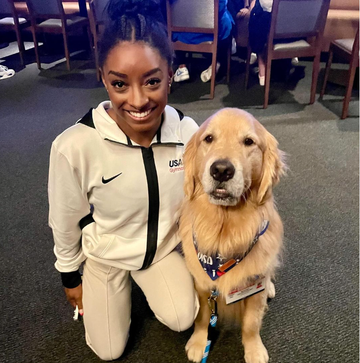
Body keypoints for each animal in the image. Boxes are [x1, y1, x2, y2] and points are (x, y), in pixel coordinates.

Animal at [180, 108, 286, 363]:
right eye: (209, 138)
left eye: (248, 141)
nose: (221, 170)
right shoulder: (202, 283)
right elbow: (202, 317)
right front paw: (199, 342)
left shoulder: (254, 285)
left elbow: (251, 324)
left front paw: (254, 349)